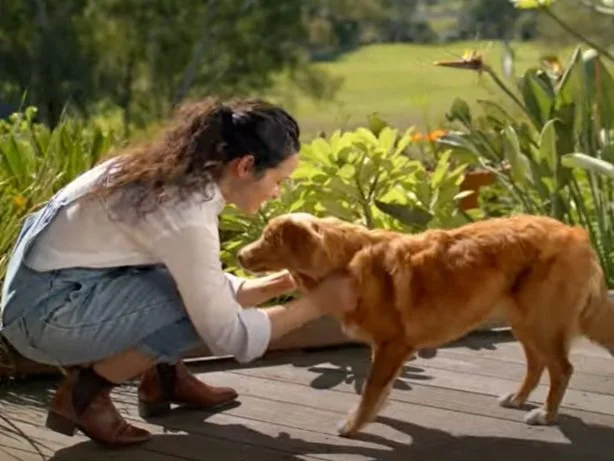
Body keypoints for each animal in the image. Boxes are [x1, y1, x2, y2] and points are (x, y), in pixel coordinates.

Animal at [237, 212, 614, 437]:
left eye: (269, 239)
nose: (238, 255)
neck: (347, 258)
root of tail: (575, 232)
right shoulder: (387, 349)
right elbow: (380, 391)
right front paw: (373, 416)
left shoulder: (392, 345)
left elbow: (371, 389)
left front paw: (354, 425)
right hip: (524, 321)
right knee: (537, 364)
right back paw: (519, 399)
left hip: (540, 321)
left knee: (562, 369)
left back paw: (546, 415)